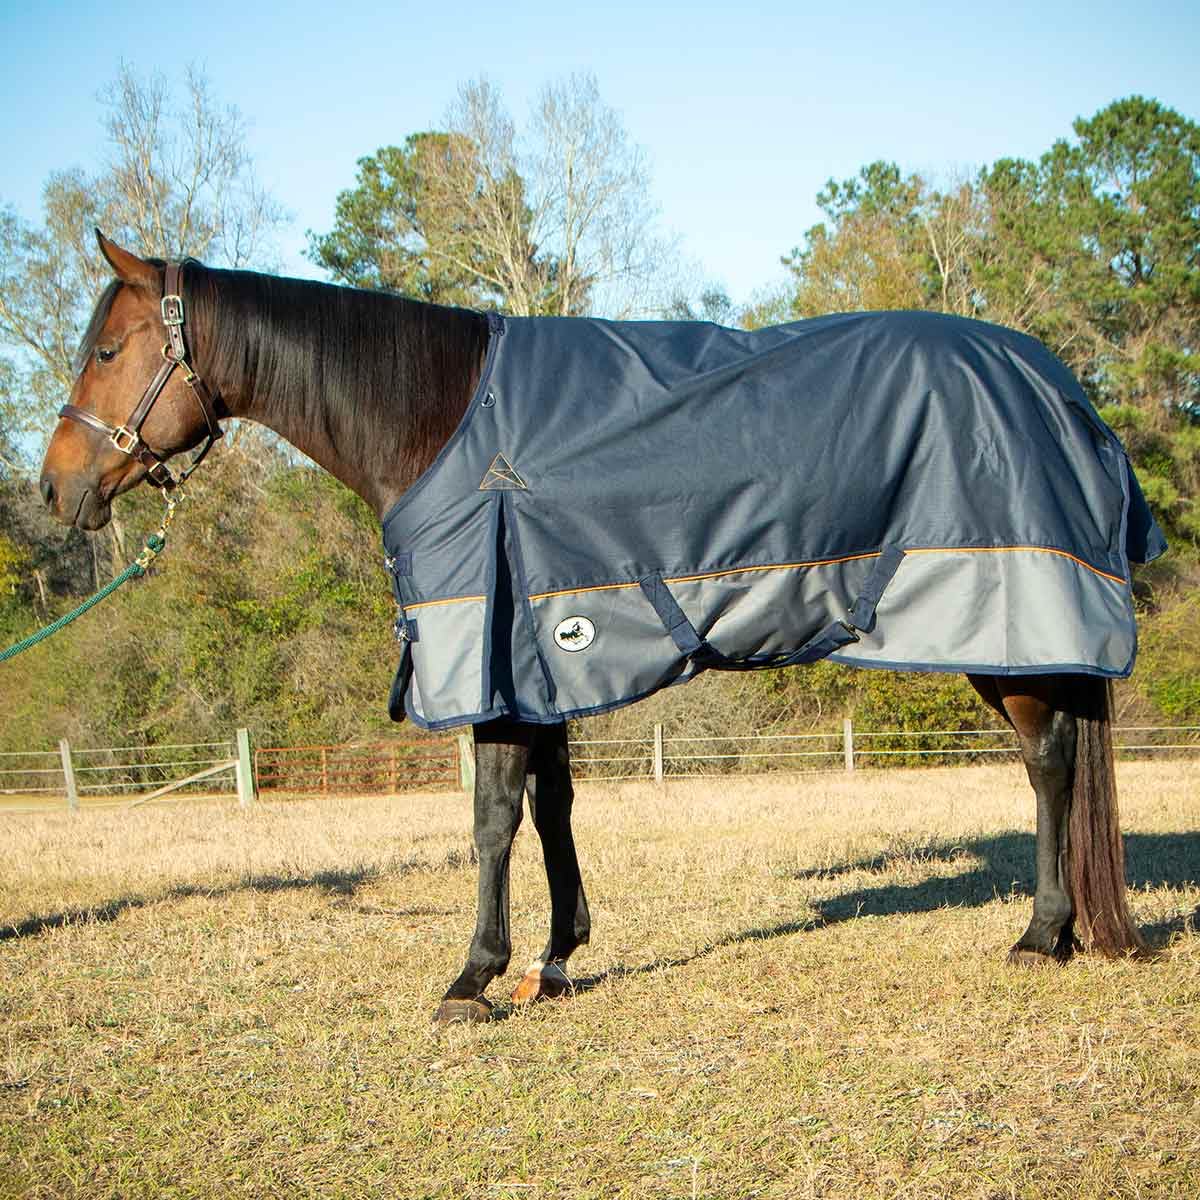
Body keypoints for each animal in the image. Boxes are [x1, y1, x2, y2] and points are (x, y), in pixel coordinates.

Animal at [39, 233, 1152, 1024]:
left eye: (108, 349)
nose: (56, 489)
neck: (443, 421)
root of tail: (1058, 386)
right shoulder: (539, 657)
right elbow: (553, 810)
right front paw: (555, 961)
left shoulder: (490, 657)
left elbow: (492, 818)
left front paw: (472, 979)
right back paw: (1062, 934)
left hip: (1008, 626)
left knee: (1049, 763)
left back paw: (1041, 934)